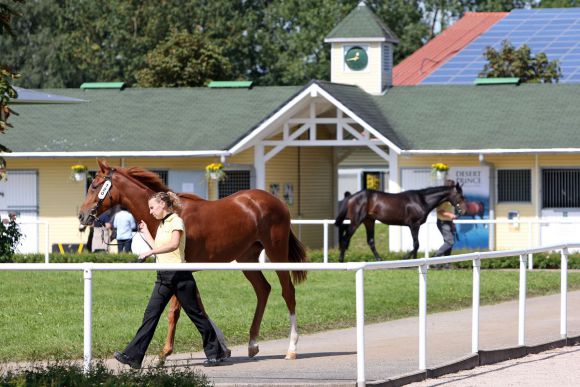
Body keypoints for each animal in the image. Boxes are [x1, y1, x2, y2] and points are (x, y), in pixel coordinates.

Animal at [80, 161, 312, 360]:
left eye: (94, 186)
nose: (82, 216)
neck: (169, 215)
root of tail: (278, 202)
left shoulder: (179, 271)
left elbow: (175, 311)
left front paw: (164, 354)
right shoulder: (187, 274)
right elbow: (199, 307)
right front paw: (222, 348)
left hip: (276, 253)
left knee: (288, 292)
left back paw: (291, 348)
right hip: (247, 258)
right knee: (263, 289)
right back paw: (253, 343)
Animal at [334, 183, 464, 262]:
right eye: (460, 195)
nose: (462, 210)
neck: (422, 200)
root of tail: (351, 197)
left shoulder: (415, 226)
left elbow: (416, 245)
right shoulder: (414, 225)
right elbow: (416, 244)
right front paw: (405, 258)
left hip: (369, 221)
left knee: (370, 241)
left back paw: (379, 259)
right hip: (356, 221)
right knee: (345, 239)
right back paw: (341, 260)